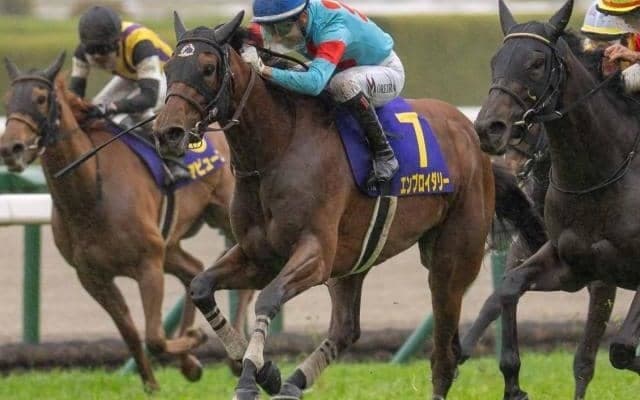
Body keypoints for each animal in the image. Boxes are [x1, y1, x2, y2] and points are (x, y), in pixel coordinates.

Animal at [0, 53, 253, 391]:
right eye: (8, 99)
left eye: (40, 99)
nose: (10, 148)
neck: (90, 194)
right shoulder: (93, 277)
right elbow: (131, 334)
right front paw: (156, 382)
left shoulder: (148, 264)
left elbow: (154, 337)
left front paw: (195, 338)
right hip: (169, 243)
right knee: (194, 269)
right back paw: (191, 358)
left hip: (224, 214)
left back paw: (235, 355)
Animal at [150, 12, 546, 399]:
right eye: (169, 67)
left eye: (207, 68)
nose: (168, 132)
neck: (278, 148)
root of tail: (470, 134)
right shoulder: (259, 254)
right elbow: (201, 287)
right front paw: (268, 374)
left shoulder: (315, 253)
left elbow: (268, 299)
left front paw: (250, 378)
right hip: (355, 258)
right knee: (346, 328)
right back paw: (292, 384)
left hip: (450, 260)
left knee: (443, 352)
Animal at [473, 0, 640, 398]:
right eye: (495, 60)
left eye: (536, 63)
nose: (488, 129)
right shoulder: (574, 266)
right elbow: (507, 289)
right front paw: (513, 383)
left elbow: (617, 351)